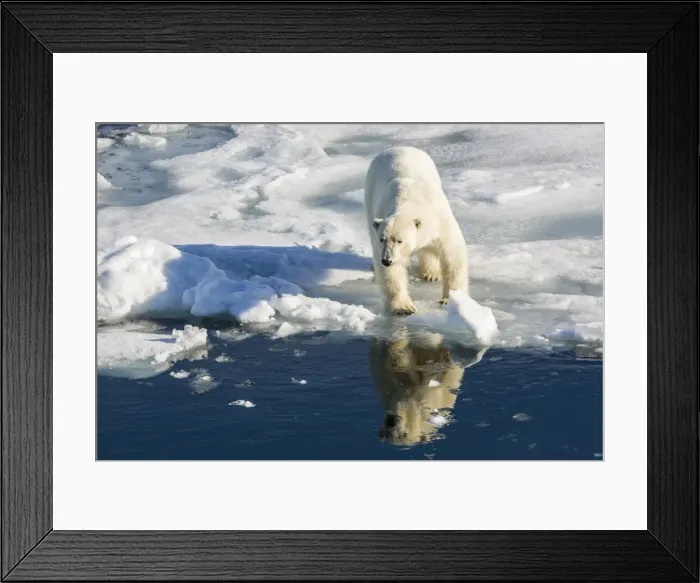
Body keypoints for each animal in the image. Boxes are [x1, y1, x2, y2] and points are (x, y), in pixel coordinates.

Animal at [364, 145, 469, 316]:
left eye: (400, 240)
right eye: (382, 239)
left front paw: (451, 300)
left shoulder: (440, 220)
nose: (386, 260)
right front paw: (403, 307)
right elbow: (392, 273)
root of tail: (398, 147)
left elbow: (452, 255)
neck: (409, 200)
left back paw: (431, 274)